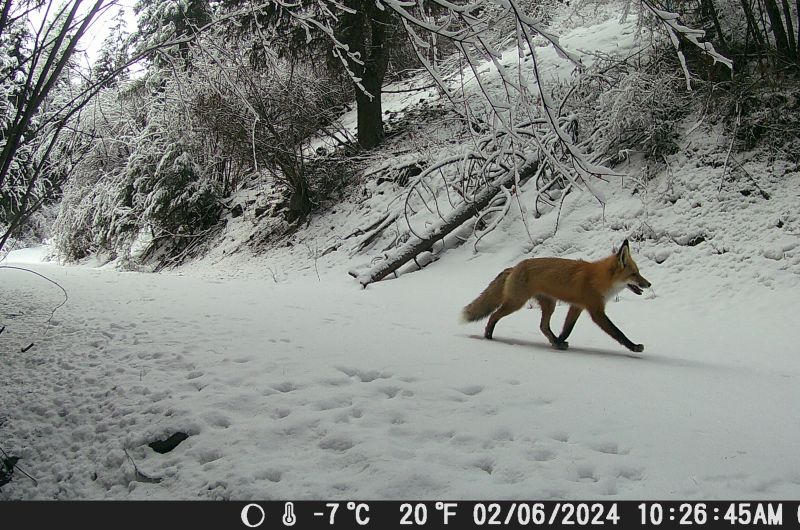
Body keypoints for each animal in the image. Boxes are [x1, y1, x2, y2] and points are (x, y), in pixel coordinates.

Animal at [462, 240, 651, 352]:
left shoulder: (577, 306)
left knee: (543, 326)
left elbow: (567, 329)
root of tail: (514, 267)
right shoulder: (595, 311)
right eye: (634, 274)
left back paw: (554, 341)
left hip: (549, 305)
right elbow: (617, 332)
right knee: (494, 315)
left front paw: (559, 342)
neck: (598, 279)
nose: (649, 284)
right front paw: (634, 346)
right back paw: (488, 335)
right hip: (516, 302)